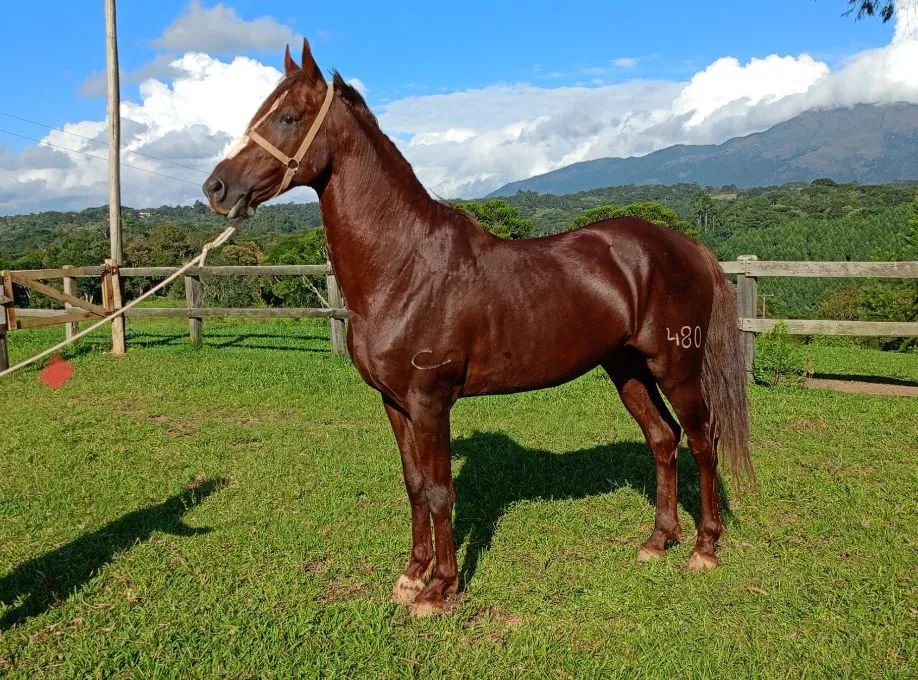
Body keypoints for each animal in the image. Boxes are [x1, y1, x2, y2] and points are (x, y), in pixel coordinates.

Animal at [204, 40, 753, 617]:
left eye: (288, 116)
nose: (216, 188)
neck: (403, 265)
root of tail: (685, 245)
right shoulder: (394, 403)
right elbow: (414, 485)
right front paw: (412, 575)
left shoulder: (430, 402)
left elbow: (440, 491)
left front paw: (440, 588)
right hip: (626, 368)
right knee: (662, 439)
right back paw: (657, 540)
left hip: (677, 368)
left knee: (703, 441)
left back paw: (704, 548)